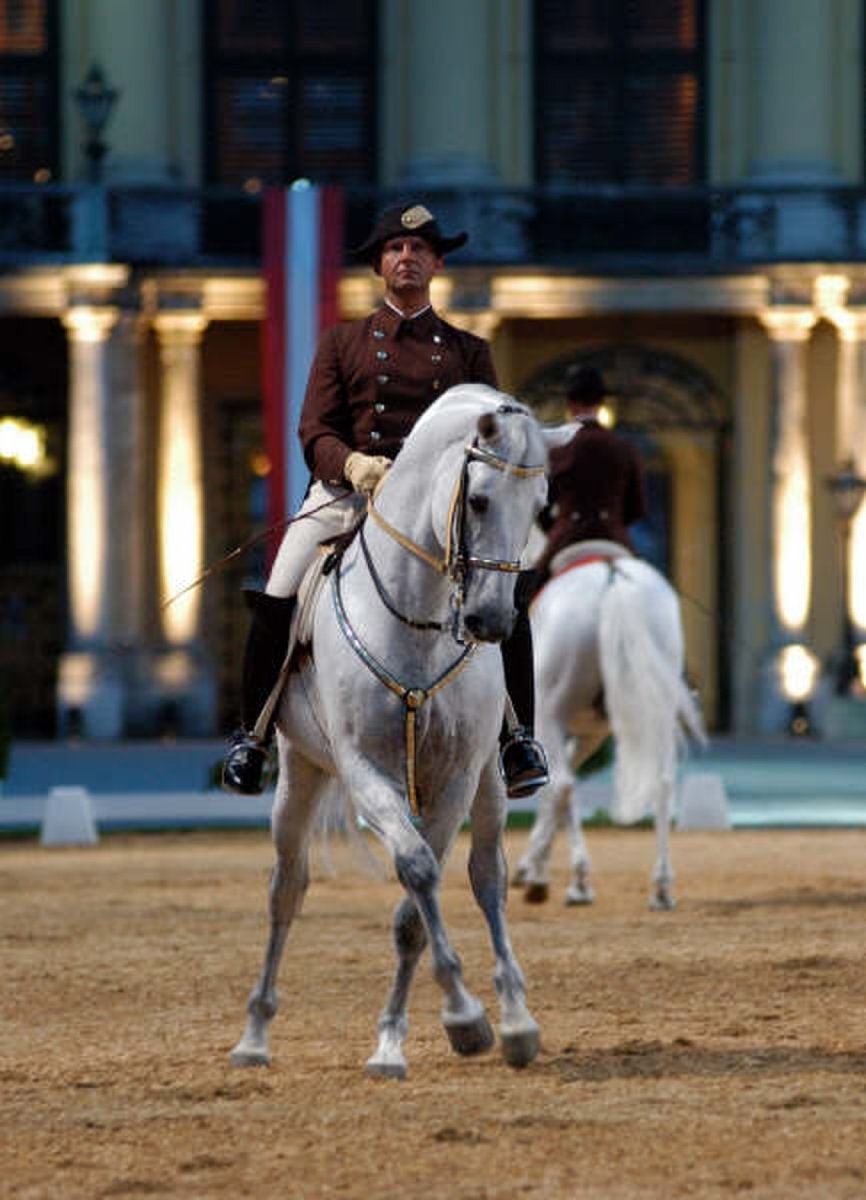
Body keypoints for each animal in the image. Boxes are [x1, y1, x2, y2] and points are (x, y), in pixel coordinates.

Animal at [230, 384, 574, 1079]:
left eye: (540, 508)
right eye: (478, 499)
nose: (492, 622)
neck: (419, 617)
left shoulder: (457, 776)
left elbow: (420, 903)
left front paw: (456, 1024)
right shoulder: (365, 772)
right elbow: (415, 873)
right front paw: (459, 1017)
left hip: (488, 783)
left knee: (488, 879)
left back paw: (514, 1019)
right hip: (301, 771)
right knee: (286, 890)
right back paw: (255, 1035)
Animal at [512, 545, 706, 910]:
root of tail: (612, 575)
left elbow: (553, 792)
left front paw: (535, 871)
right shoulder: (590, 733)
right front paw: (533, 863)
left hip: (551, 712)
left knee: (563, 786)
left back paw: (576, 882)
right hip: (658, 711)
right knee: (662, 784)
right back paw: (661, 887)